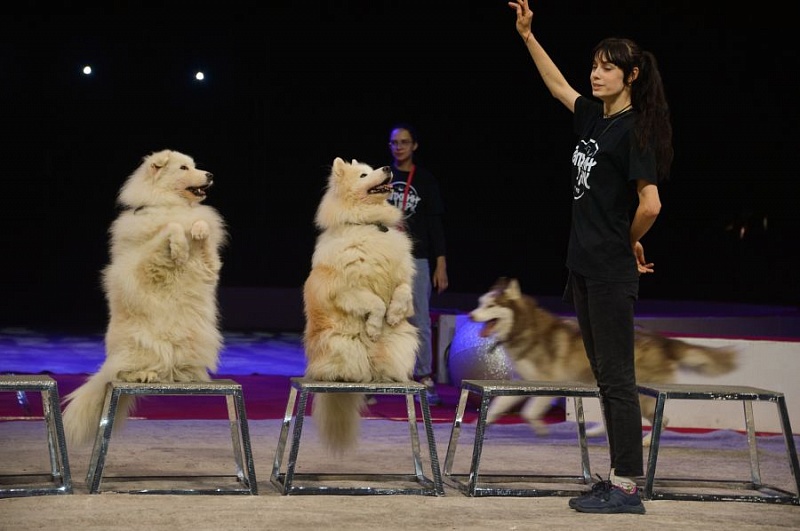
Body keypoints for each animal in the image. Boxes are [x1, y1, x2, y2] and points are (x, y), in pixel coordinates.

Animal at [60, 151, 225, 448]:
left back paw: (184, 374)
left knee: (171, 369)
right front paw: (179, 248)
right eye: (184, 168)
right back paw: (144, 374)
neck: (169, 204)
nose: (210, 175)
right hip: (136, 347)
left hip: (199, 341)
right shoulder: (146, 262)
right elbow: (169, 229)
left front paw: (197, 231)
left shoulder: (209, 265)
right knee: (120, 372)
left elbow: (200, 226)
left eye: (195, 166)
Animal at [304, 157, 418, 454]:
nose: (388, 168)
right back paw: (346, 375)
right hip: (341, 344)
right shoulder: (348, 289)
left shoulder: (403, 278)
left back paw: (387, 376)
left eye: (375, 168)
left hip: (403, 343)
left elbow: (402, 292)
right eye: (364, 175)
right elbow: (375, 303)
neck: (371, 224)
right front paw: (375, 327)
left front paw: (394, 316)